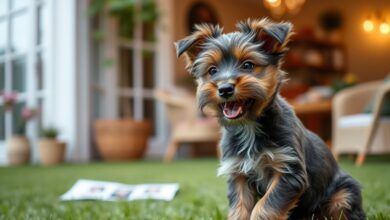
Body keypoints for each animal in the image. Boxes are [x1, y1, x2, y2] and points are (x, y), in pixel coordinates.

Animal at [175, 18, 364, 219]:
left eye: (248, 65)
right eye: (212, 70)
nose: (225, 88)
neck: (249, 125)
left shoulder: (288, 171)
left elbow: (265, 207)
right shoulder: (238, 174)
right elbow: (240, 208)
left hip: (343, 195)